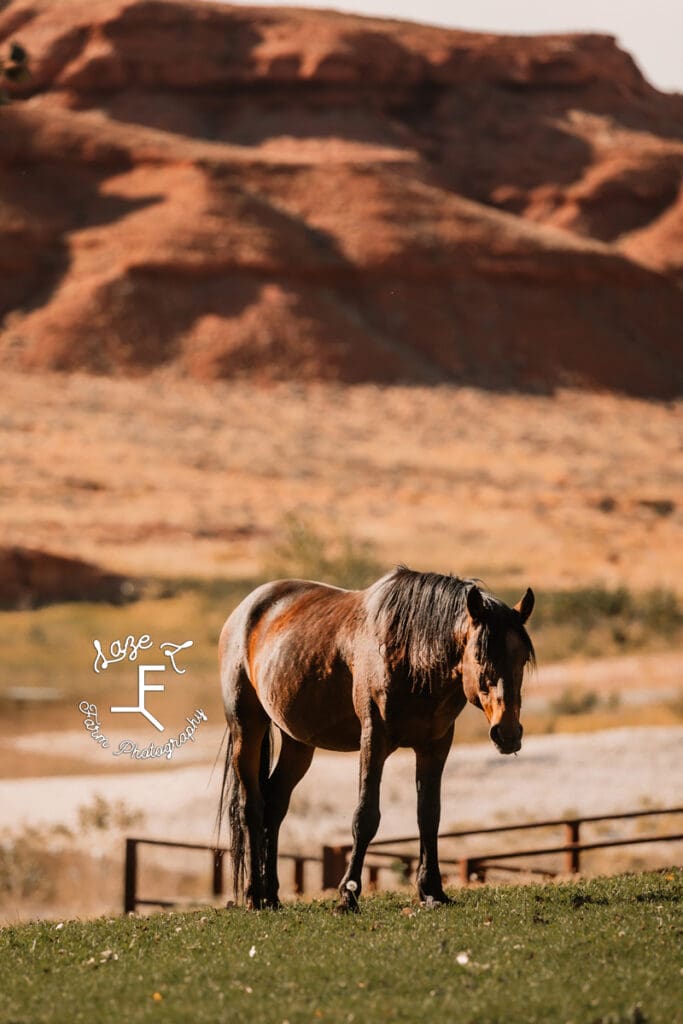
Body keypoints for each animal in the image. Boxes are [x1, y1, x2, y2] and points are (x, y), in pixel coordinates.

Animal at [219, 569, 532, 913]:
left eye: (521, 659)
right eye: (479, 656)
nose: (508, 733)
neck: (410, 655)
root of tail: (245, 610)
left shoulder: (435, 746)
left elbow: (429, 815)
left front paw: (432, 891)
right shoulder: (374, 738)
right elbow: (366, 816)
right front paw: (348, 895)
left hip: (297, 743)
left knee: (274, 805)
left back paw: (272, 896)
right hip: (246, 728)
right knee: (252, 807)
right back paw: (254, 895)